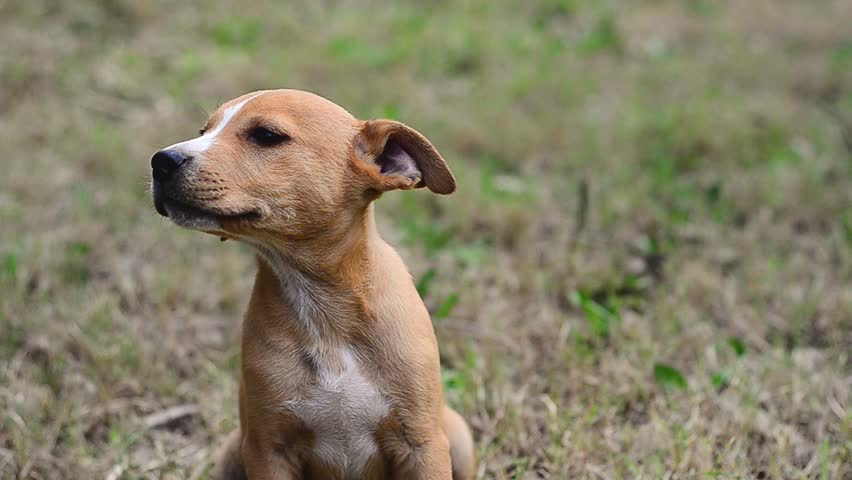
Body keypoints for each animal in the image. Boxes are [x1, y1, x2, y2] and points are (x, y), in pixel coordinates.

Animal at [150, 90, 476, 480]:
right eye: (204, 130)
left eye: (266, 135)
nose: (160, 161)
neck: (322, 303)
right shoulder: (268, 450)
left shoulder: (422, 446)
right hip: (232, 450)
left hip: (457, 436)